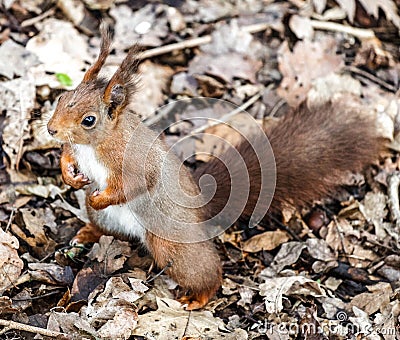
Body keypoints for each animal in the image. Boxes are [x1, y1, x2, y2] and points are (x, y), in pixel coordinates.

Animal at [47, 27, 382, 310]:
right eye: (62, 97)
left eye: (88, 120)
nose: (50, 129)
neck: (95, 144)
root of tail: (199, 203)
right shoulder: (76, 150)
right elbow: (67, 156)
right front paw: (69, 175)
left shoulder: (132, 162)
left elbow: (132, 185)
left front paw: (99, 196)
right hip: (113, 222)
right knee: (106, 228)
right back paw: (87, 232)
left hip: (172, 243)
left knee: (205, 270)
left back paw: (199, 297)